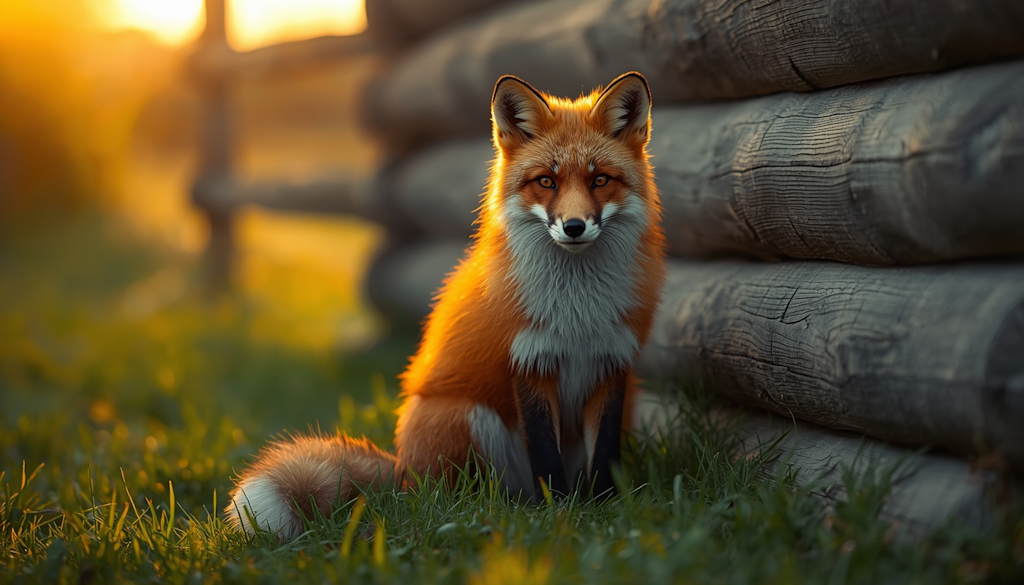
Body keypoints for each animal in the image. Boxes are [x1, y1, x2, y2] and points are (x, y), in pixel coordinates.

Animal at [226, 71, 666, 540]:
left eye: (600, 180)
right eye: (546, 181)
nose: (575, 226)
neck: (577, 312)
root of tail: (401, 469)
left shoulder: (612, 363)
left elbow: (605, 454)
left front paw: (604, 508)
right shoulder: (528, 362)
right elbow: (546, 458)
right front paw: (561, 511)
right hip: (464, 414)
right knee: (461, 497)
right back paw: (506, 509)